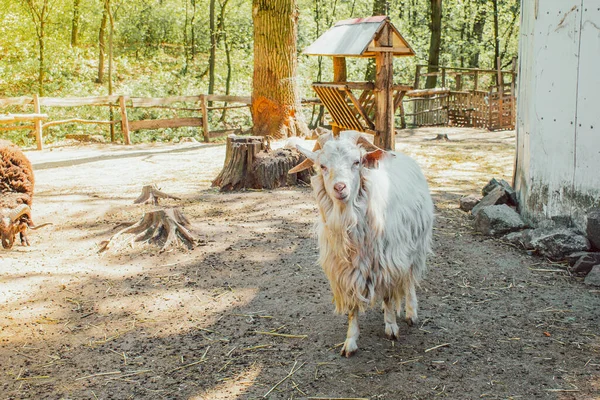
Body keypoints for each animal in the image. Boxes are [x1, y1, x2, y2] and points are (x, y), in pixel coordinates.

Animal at [290, 130, 434, 356]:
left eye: (356, 162)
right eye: (323, 166)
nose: (340, 187)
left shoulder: (388, 263)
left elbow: (389, 296)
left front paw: (391, 327)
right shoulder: (345, 271)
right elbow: (353, 307)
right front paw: (350, 341)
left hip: (416, 246)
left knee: (410, 280)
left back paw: (411, 312)